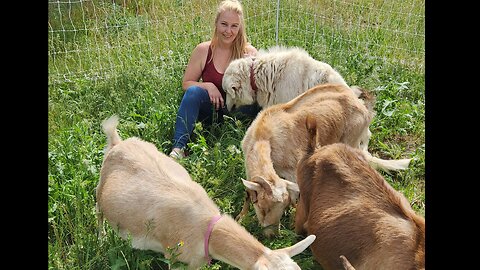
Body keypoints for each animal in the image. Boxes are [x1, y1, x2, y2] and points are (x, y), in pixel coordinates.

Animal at [95, 115, 316, 270]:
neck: (206, 228)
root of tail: (117, 142)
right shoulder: (174, 259)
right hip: (100, 188)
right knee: (98, 214)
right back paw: (101, 240)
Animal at [236, 83, 408, 236]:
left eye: (281, 206)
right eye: (263, 207)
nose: (271, 235)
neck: (263, 137)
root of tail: (362, 105)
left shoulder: (294, 171)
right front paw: (240, 218)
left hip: (350, 139)